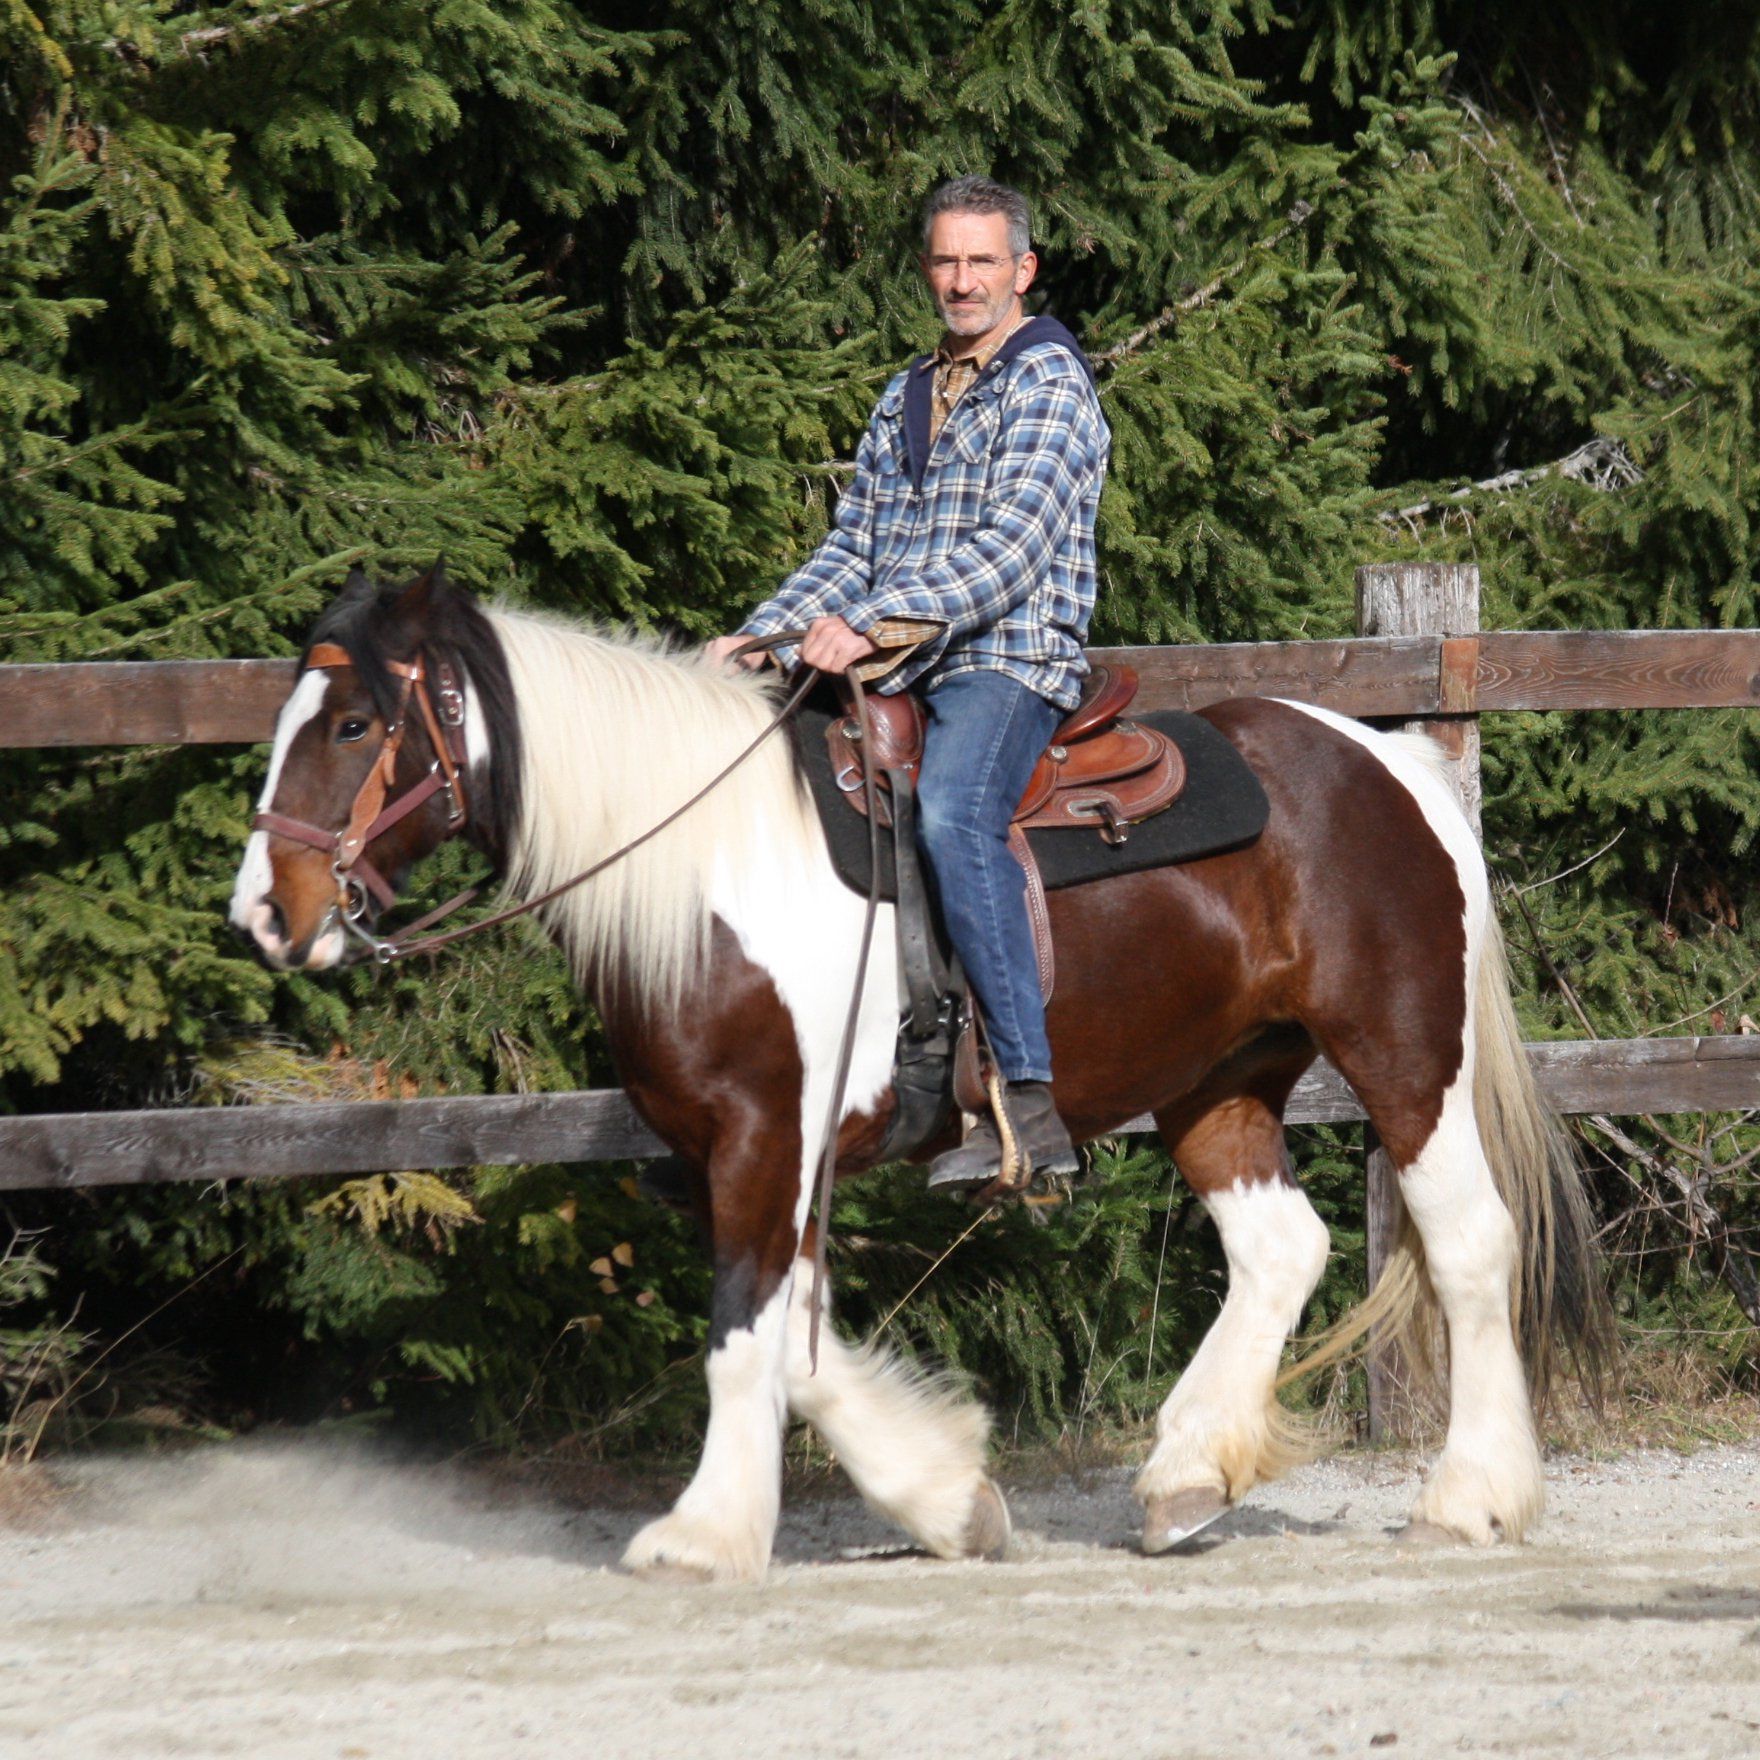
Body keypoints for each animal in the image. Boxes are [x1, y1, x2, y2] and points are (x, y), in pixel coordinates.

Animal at [229, 564, 1608, 1581]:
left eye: (355, 722)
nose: (265, 914)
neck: (711, 867)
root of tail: (1391, 766)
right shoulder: (763, 1158)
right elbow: (795, 1336)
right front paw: (950, 1499)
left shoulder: (763, 1139)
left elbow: (745, 1334)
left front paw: (703, 1534)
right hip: (1214, 1081)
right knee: (1280, 1246)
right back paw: (1183, 1475)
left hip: (1405, 1056)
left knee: (1468, 1240)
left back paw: (1470, 1496)